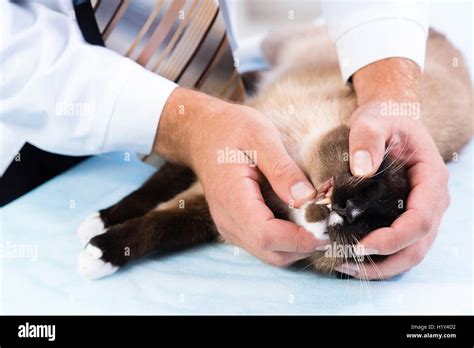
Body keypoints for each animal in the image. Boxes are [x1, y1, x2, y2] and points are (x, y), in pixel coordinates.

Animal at [76, 28, 472, 282]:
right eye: (364, 184)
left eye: (368, 226)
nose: (346, 208)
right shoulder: (213, 156)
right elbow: (150, 193)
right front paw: (99, 221)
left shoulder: (210, 212)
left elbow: (159, 226)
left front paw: (100, 252)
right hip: (279, 44)